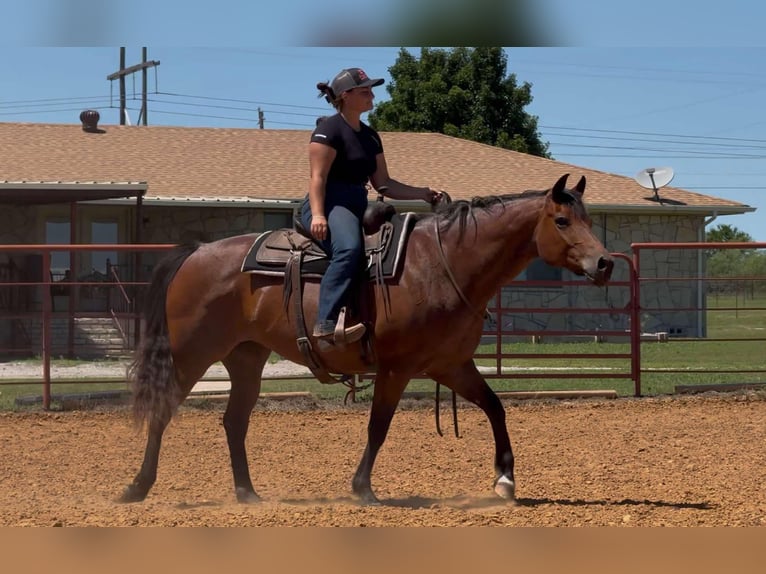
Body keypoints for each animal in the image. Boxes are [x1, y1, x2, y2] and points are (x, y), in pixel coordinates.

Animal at [120, 173, 614, 505]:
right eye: (562, 220)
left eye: (589, 218)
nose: (605, 263)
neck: (444, 263)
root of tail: (196, 253)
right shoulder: (396, 368)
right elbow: (379, 426)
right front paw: (362, 488)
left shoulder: (451, 365)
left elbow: (495, 406)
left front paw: (505, 480)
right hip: (191, 354)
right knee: (162, 412)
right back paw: (137, 487)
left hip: (246, 357)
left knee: (234, 422)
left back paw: (247, 493)